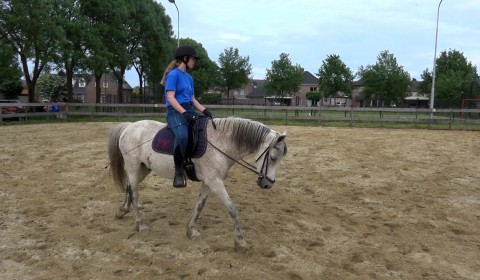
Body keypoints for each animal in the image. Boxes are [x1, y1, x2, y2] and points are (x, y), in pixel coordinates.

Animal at [107, 117, 286, 248]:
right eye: (273, 157)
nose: (267, 184)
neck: (221, 142)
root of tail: (129, 127)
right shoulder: (215, 181)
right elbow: (232, 208)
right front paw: (240, 240)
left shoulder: (209, 181)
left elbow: (200, 205)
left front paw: (191, 230)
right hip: (133, 167)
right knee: (135, 194)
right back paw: (141, 224)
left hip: (143, 169)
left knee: (129, 187)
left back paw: (122, 211)